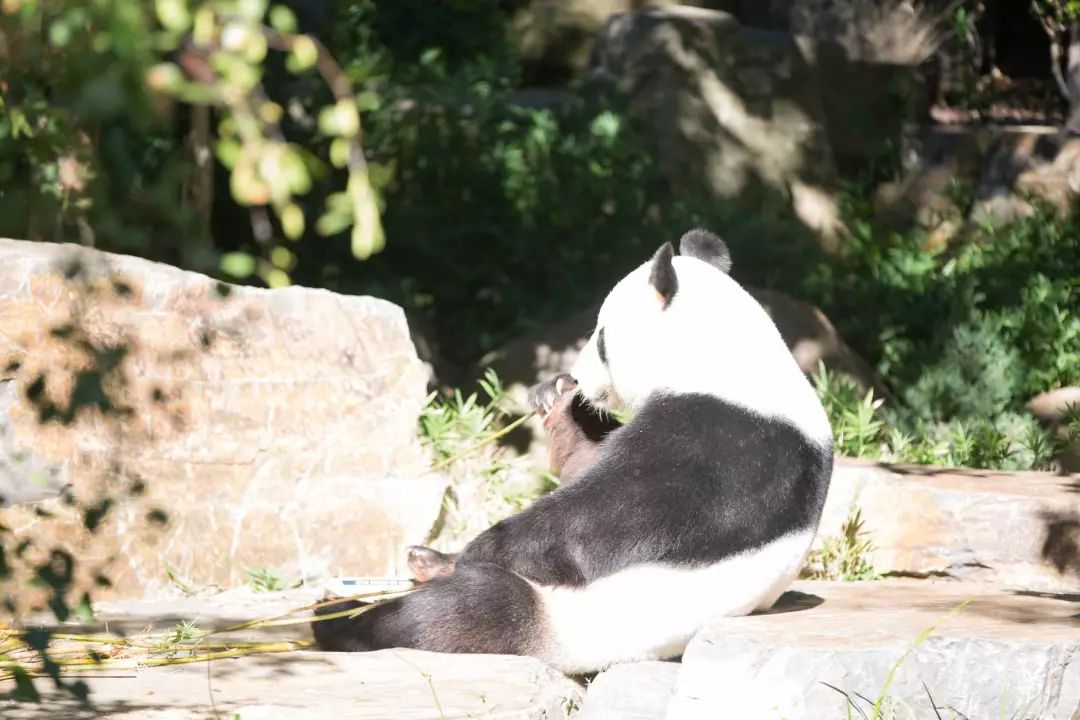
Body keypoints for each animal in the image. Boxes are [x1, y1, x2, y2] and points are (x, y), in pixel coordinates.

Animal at [313, 229, 833, 677]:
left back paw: (344, 618)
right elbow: (586, 465)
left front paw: (483, 547)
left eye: (601, 338)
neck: (725, 354)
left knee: (464, 610)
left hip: (575, 619)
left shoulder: (724, 441)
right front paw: (557, 398)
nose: (580, 376)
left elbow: (600, 521)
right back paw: (422, 562)